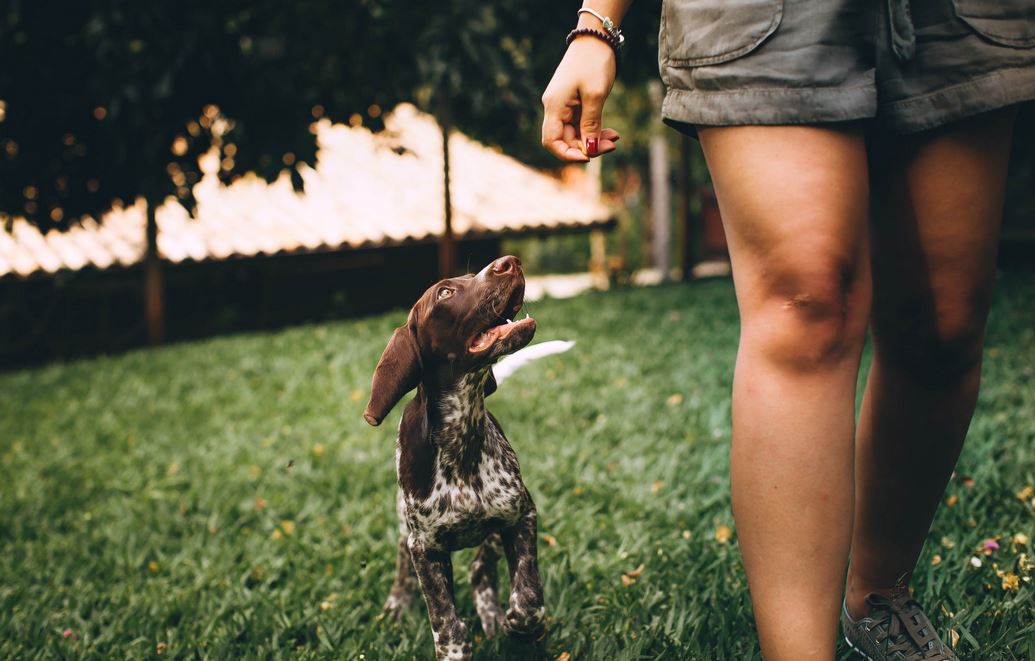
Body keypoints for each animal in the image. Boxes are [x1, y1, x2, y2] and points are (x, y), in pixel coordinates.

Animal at [362, 256, 546, 657]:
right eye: (445, 293)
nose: (509, 262)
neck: (461, 437)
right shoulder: (425, 549)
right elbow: (446, 621)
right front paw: (455, 649)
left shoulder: (520, 515)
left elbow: (528, 600)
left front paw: (519, 626)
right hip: (405, 524)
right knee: (403, 560)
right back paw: (398, 601)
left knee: (480, 572)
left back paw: (493, 617)